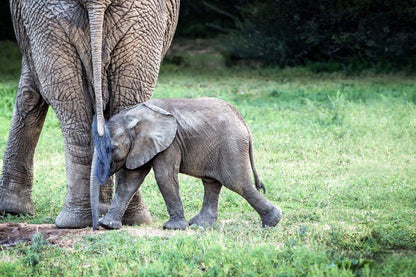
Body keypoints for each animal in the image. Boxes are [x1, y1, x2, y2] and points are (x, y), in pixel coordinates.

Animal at [90, 96, 282, 230]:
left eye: (111, 148)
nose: (95, 226)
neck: (134, 115)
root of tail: (243, 121)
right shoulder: (141, 146)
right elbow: (130, 180)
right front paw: (108, 225)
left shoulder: (170, 143)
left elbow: (164, 177)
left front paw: (172, 228)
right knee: (212, 183)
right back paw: (200, 225)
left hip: (232, 146)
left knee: (237, 183)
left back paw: (272, 222)